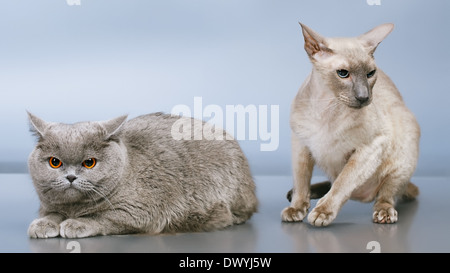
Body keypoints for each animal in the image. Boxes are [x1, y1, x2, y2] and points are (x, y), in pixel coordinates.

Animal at [284, 22, 420, 225]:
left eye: (370, 74)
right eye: (343, 74)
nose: (364, 97)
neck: (326, 109)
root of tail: (363, 198)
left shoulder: (371, 147)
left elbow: (344, 182)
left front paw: (323, 212)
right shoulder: (300, 144)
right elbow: (301, 180)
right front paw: (297, 207)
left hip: (403, 152)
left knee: (386, 194)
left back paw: (384, 212)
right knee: (329, 182)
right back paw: (301, 194)